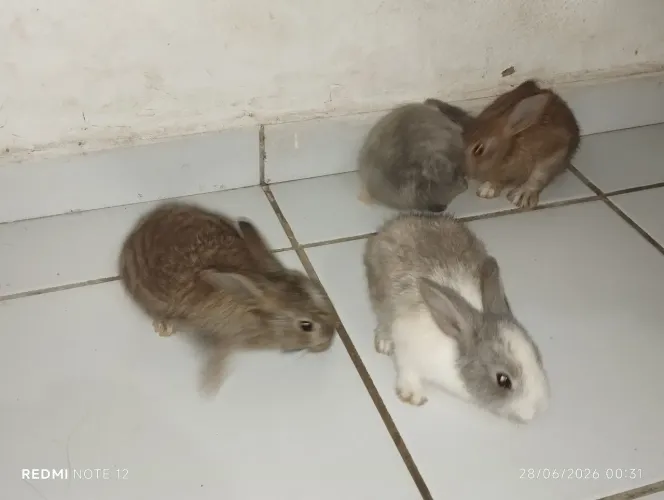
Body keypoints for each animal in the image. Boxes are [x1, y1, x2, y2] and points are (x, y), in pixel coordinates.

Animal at [363, 211, 549, 423]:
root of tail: (395, 225)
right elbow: (407, 371)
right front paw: (413, 396)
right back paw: (384, 343)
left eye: (537, 355)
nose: (538, 409)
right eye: (503, 380)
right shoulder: (407, 349)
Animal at [463, 79, 581, 209]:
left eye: (479, 150)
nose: (465, 172)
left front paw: (522, 196)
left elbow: (538, 176)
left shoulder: (554, 152)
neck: (510, 150)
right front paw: (487, 189)